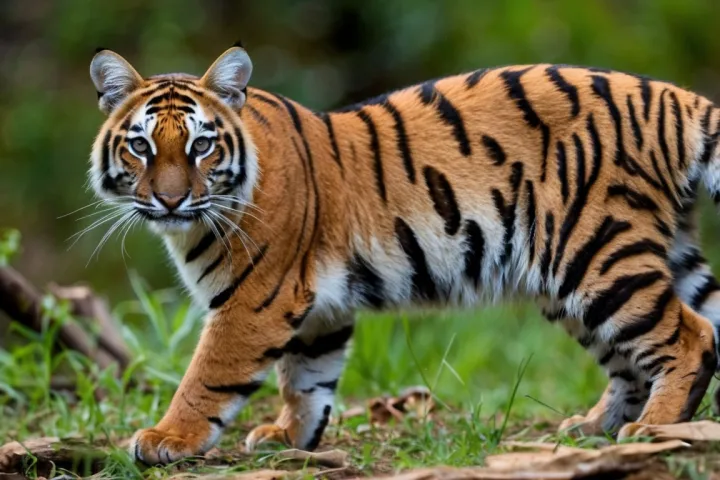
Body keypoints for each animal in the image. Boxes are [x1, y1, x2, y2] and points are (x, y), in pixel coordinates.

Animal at [87, 44, 720, 465]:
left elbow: (207, 376)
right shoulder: (318, 307)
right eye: (141, 146)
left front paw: (166, 438)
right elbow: (306, 378)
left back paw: (653, 431)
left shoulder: (255, 300)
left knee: (690, 336)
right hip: (603, 269)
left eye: (201, 145)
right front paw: (291, 437)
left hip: (597, 255)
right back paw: (592, 428)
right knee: (656, 348)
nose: (170, 199)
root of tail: (668, 96)